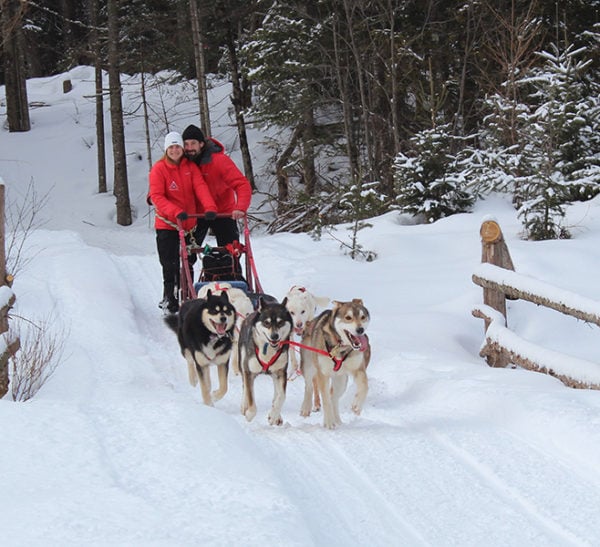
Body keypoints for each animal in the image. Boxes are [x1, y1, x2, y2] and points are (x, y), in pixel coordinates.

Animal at [240, 298, 294, 426]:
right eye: (267, 322)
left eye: (280, 322)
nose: (274, 336)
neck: (267, 350)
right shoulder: (249, 372)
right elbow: (250, 397)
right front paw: (249, 414)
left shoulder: (281, 372)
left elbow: (281, 396)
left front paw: (273, 415)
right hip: (242, 364)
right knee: (244, 386)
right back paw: (244, 405)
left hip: (275, 374)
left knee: (276, 393)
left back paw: (277, 415)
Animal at [300, 298, 370, 430]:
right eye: (348, 317)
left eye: (363, 317)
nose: (360, 330)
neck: (340, 346)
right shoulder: (322, 374)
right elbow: (325, 399)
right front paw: (328, 422)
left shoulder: (358, 369)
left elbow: (365, 386)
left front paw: (357, 405)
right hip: (308, 366)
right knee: (309, 386)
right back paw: (306, 408)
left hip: (341, 380)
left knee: (334, 398)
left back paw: (337, 420)